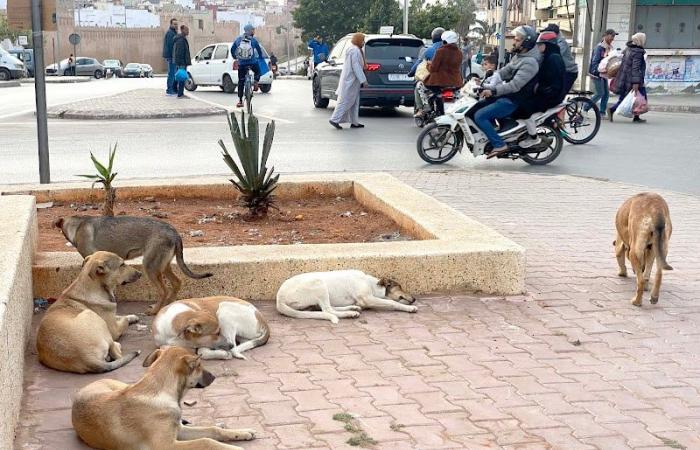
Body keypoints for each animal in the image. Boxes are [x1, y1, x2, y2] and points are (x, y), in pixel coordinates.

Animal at [55, 215, 213, 314]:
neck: (77, 225)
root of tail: (175, 233)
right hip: (163, 266)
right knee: (177, 282)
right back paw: (166, 306)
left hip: (150, 267)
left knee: (163, 290)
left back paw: (154, 311)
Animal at [72, 346, 258, 448]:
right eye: (198, 366)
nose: (213, 377)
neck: (161, 391)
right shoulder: (167, 444)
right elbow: (206, 441)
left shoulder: (178, 432)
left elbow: (212, 430)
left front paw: (241, 432)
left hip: (121, 386)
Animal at [274, 270, 418, 324]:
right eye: (400, 286)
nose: (415, 298)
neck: (370, 283)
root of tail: (279, 299)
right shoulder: (367, 299)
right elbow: (393, 303)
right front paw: (409, 308)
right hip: (318, 283)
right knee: (328, 310)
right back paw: (349, 313)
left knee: (328, 308)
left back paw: (352, 309)